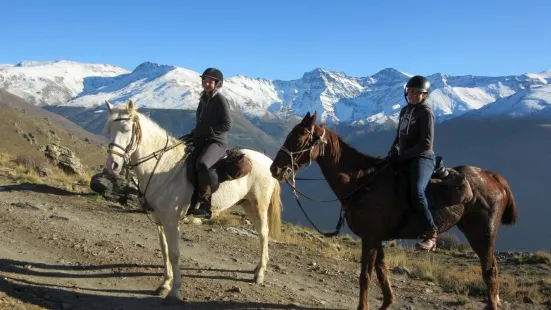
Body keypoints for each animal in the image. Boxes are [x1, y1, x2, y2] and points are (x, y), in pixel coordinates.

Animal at [103, 100, 282, 306]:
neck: (162, 166)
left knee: (263, 234)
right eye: (108, 129)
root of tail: (268, 161)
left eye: (126, 129)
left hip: (259, 205)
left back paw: (259, 273)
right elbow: (165, 251)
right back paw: (257, 269)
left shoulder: (171, 221)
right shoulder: (159, 220)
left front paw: (175, 292)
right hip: (248, 204)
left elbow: (174, 254)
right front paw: (164, 284)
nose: (112, 165)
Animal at [270, 111, 520, 310]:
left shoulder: (370, 237)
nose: (275, 169)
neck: (361, 181)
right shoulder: (375, 237)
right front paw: (387, 303)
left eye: (300, 137)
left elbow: (366, 275)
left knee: (490, 271)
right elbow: (382, 270)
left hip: (482, 234)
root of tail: (494, 177)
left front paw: (364, 307)